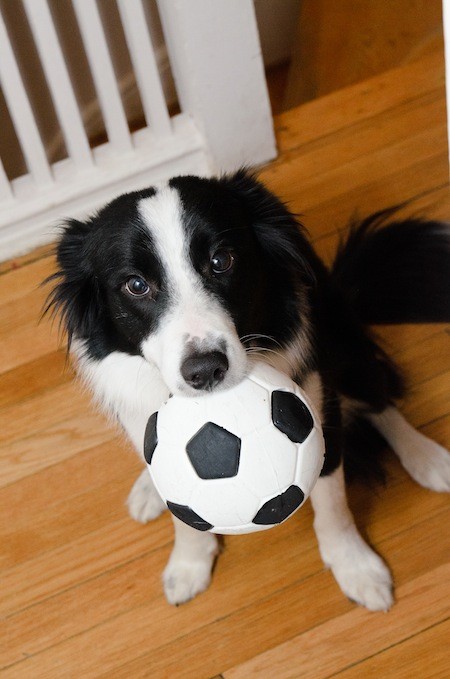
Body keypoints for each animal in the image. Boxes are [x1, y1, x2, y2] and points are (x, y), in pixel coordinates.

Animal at [44, 170, 450, 612]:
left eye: (222, 261)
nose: (205, 370)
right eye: (135, 285)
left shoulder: (313, 405)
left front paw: (355, 566)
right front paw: (188, 565)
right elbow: (181, 512)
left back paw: (427, 457)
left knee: (378, 397)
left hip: (343, 341)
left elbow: (332, 499)